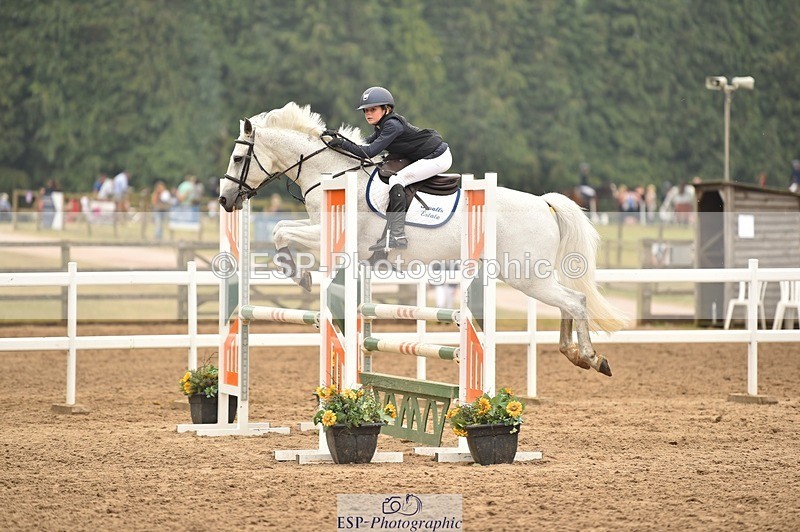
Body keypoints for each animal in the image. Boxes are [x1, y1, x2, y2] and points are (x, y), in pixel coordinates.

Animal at [219, 102, 626, 377]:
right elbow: (281, 229)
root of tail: (544, 202)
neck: (332, 175)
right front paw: (296, 272)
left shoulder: (330, 238)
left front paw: (298, 274)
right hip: (531, 274)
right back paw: (575, 354)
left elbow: (281, 230)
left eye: (238, 158)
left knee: (574, 301)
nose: (224, 200)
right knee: (569, 301)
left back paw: (592, 357)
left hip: (526, 275)